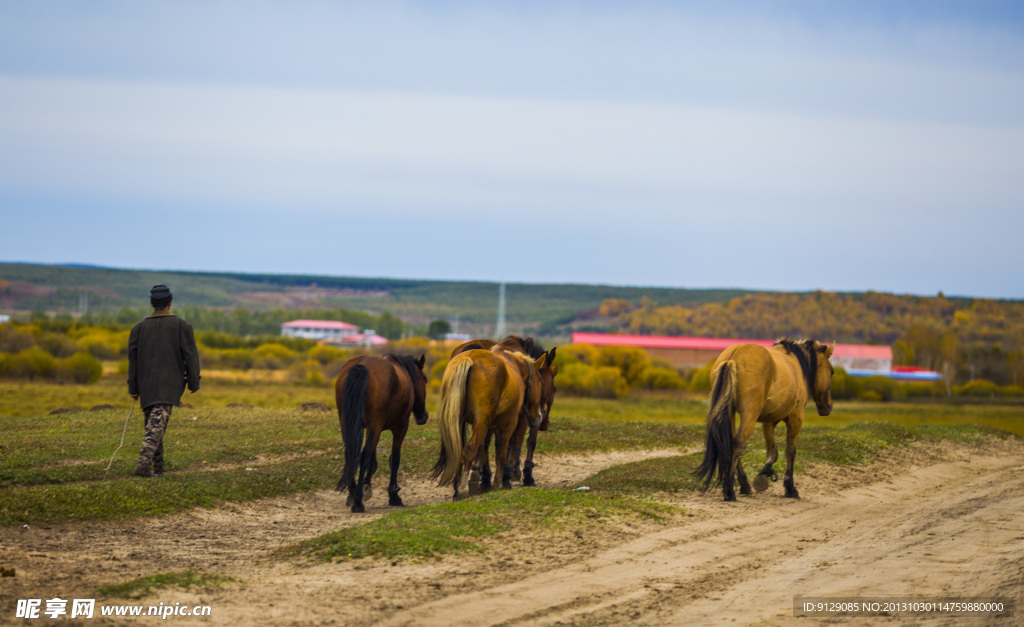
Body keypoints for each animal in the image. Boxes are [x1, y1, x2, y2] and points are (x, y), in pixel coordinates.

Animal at [335, 354, 428, 512]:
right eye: (425, 380)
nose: (424, 416)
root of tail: (361, 365)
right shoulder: (400, 427)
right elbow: (394, 459)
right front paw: (394, 495)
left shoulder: (369, 428)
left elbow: (373, 461)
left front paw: (366, 485)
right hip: (375, 425)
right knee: (363, 455)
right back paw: (358, 501)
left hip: (346, 423)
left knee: (350, 453)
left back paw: (353, 493)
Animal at [430, 342, 552, 499]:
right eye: (541, 382)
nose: (539, 415)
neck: (516, 369)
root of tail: (468, 358)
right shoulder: (509, 423)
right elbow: (502, 453)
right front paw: (498, 482)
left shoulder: (488, 425)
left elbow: (484, 451)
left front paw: (486, 482)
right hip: (484, 424)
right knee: (470, 448)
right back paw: (462, 489)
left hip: (461, 421)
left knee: (460, 449)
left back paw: (458, 487)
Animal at [692, 338, 835, 499]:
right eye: (831, 372)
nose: (828, 406)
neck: (798, 364)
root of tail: (733, 357)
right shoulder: (796, 418)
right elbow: (790, 451)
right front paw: (790, 488)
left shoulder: (769, 421)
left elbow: (773, 452)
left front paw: (763, 475)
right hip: (749, 415)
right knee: (738, 443)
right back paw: (729, 491)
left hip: (729, 413)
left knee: (730, 443)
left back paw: (744, 485)